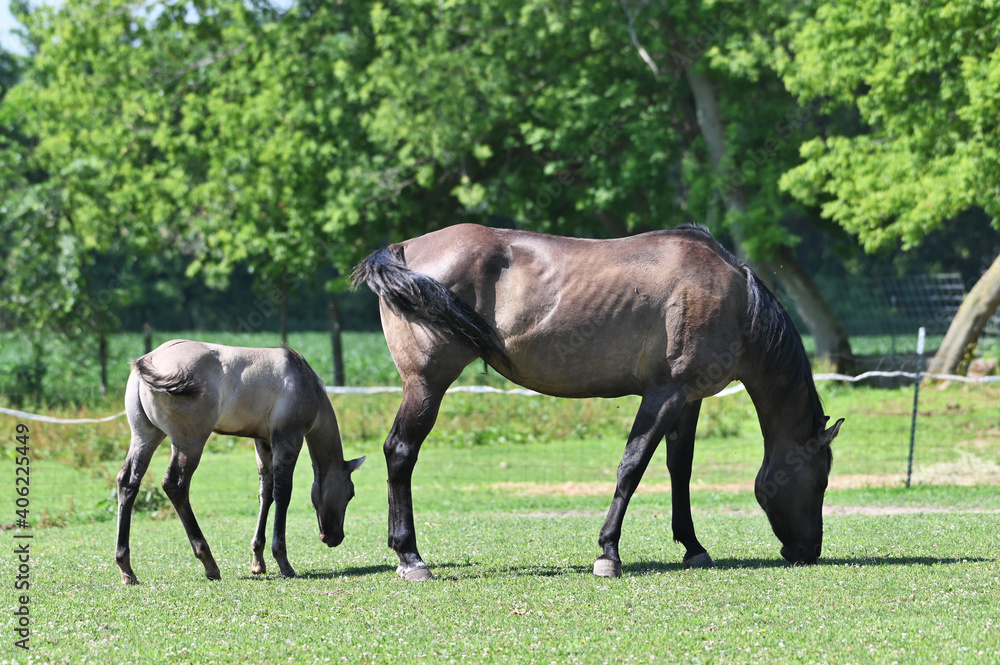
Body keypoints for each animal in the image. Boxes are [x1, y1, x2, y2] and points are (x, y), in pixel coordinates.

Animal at [114, 340, 364, 584]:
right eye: (350, 493)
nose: (335, 537)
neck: (302, 378)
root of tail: (151, 358)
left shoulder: (263, 443)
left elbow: (266, 494)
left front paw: (258, 561)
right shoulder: (288, 439)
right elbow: (282, 494)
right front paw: (283, 562)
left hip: (146, 436)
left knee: (128, 482)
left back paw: (126, 568)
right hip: (190, 442)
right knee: (175, 485)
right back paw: (209, 563)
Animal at [354, 222, 844, 576]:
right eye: (820, 480)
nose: (809, 550)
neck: (735, 302)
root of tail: (403, 248)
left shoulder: (688, 399)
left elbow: (679, 470)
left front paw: (692, 546)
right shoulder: (664, 394)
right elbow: (633, 467)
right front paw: (608, 552)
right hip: (426, 385)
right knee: (400, 452)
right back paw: (410, 557)